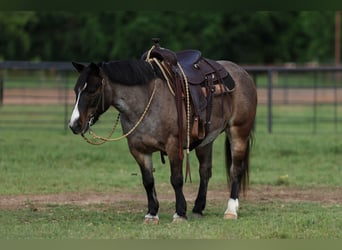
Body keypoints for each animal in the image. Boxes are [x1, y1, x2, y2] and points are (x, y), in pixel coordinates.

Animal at [69, 44, 256, 223]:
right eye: (76, 90)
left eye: (93, 90)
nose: (74, 124)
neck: (146, 102)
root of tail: (242, 73)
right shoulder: (138, 150)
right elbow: (148, 181)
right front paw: (152, 214)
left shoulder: (173, 146)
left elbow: (176, 179)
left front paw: (180, 213)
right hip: (206, 140)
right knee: (205, 171)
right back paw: (198, 209)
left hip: (238, 132)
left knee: (235, 169)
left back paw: (230, 210)